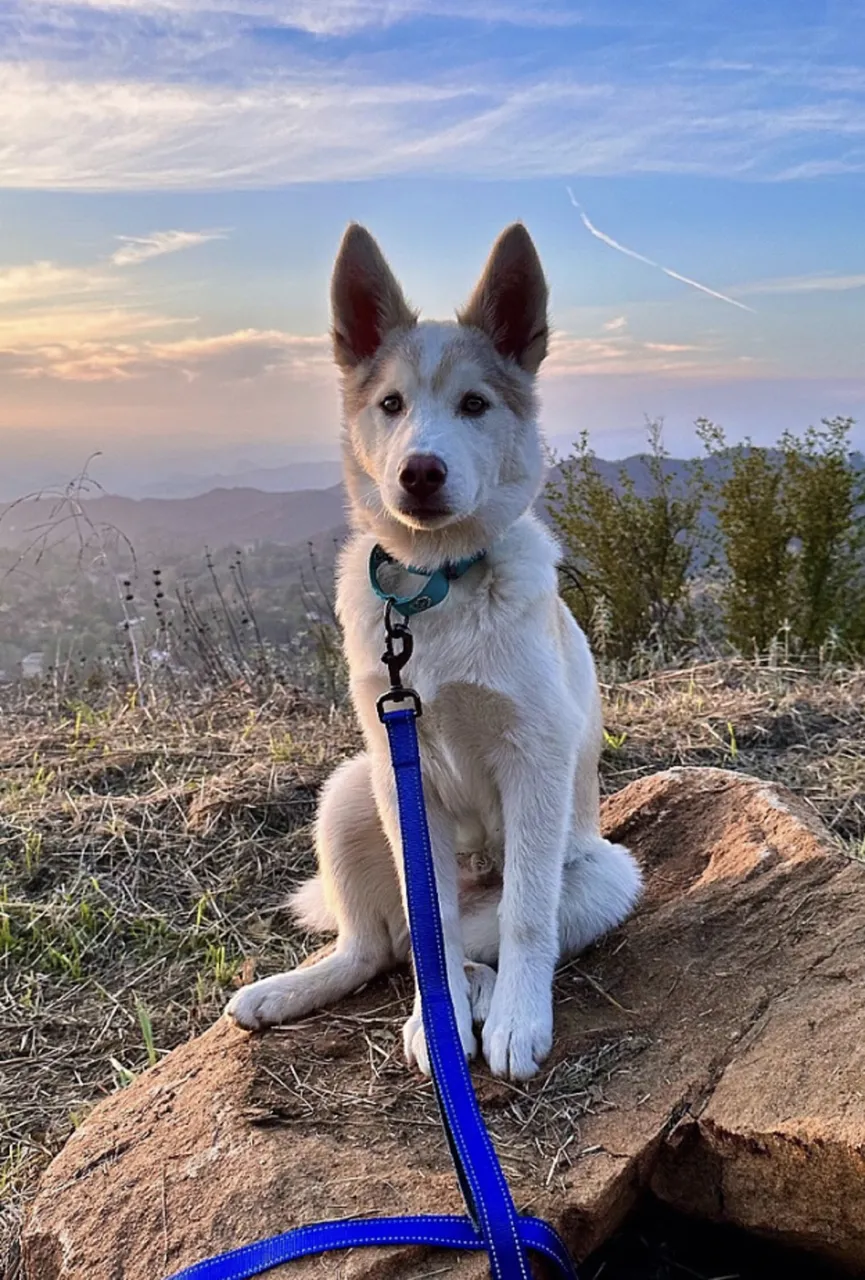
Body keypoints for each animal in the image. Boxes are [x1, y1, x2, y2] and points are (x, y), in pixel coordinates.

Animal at [226, 222, 644, 1080]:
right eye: (390, 404)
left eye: (474, 405)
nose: (419, 471)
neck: (436, 587)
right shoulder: (401, 767)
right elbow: (432, 931)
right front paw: (440, 1015)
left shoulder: (534, 760)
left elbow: (524, 917)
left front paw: (517, 1020)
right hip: (350, 790)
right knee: (381, 945)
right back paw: (297, 991)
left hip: (602, 872)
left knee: (473, 937)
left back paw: (483, 995)